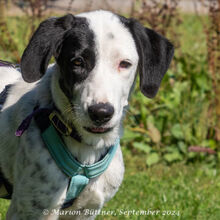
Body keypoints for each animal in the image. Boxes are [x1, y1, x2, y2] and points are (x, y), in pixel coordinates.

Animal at [0, 9, 174, 219]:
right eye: (77, 62)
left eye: (124, 64)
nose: (101, 113)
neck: (88, 151)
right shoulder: (28, 211)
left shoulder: (87, 210)